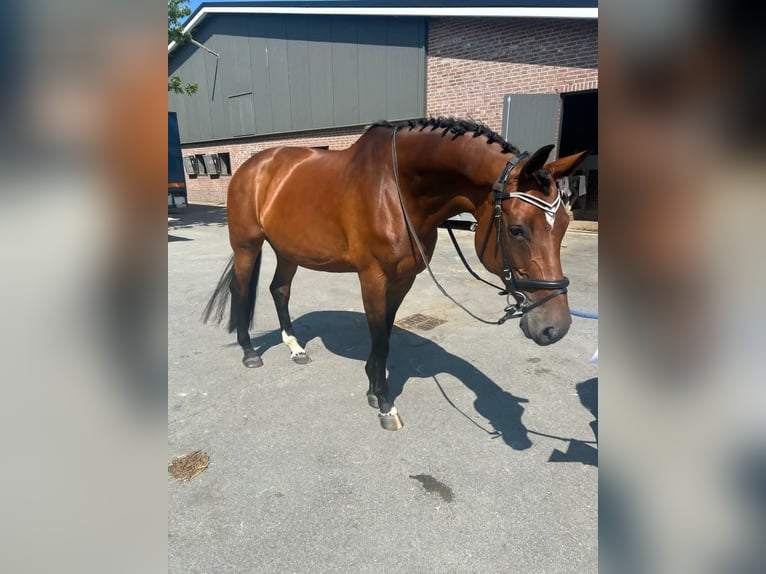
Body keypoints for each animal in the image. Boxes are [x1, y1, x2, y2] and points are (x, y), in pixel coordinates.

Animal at [202, 117, 587, 431]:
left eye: (564, 225)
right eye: (517, 229)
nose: (555, 327)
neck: (396, 188)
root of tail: (253, 165)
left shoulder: (403, 279)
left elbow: (385, 332)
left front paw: (375, 385)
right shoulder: (373, 277)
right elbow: (380, 338)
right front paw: (386, 404)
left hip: (288, 250)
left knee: (279, 290)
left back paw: (295, 347)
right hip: (247, 246)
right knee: (242, 291)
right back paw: (249, 352)